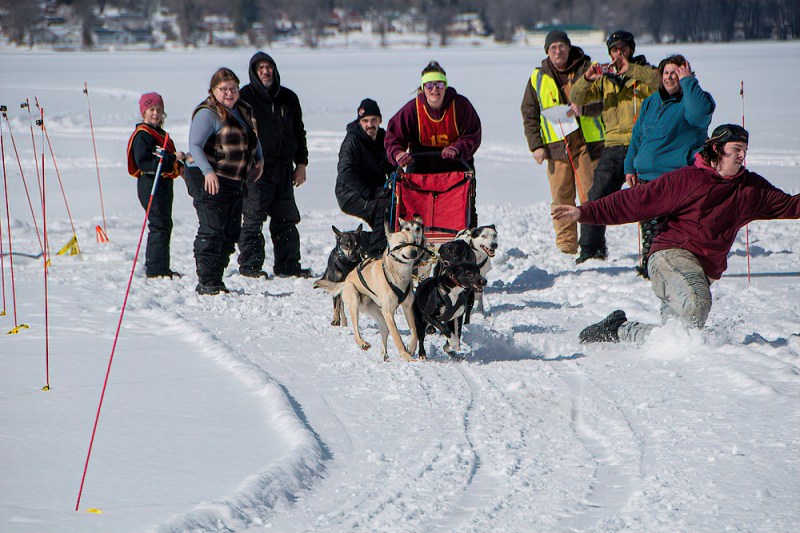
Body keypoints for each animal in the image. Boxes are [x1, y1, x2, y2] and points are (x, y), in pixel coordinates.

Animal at [315, 229, 421, 362]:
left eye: (414, 242)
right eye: (402, 243)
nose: (414, 252)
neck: (398, 275)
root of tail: (346, 281)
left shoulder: (407, 307)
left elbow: (414, 331)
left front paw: (411, 347)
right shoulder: (388, 312)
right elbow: (397, 337)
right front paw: (406, 356)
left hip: (380, 315)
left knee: (384, 333)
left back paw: (384, 354)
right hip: (355, 301)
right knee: (356, 332)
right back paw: (363, 343)